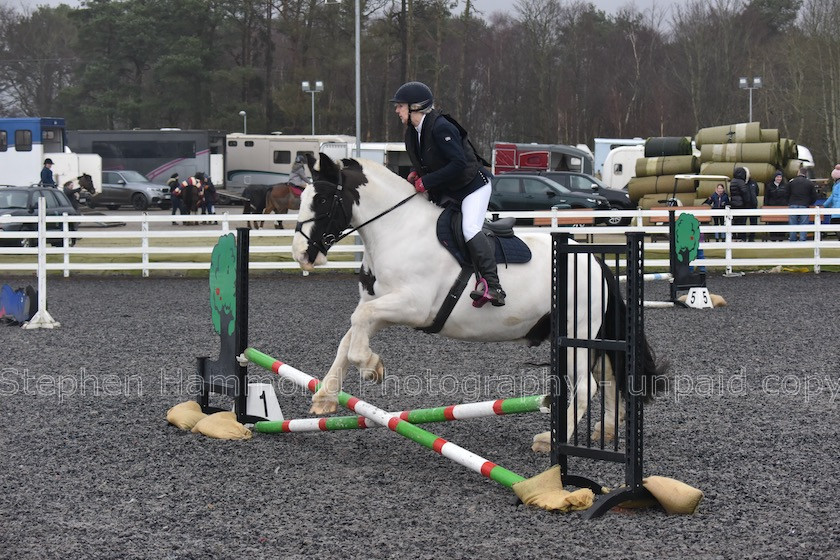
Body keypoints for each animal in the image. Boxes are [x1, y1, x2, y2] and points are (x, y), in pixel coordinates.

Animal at [288, 152, 664, 442]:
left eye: (321, 200)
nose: (301, 255)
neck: (398, 230)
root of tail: (596, 262)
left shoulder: (413, 306)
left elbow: (357, 329)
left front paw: (371, 367)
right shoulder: (377, 306)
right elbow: (350, 335)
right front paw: (326, 396)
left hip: (577, 333)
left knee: (588, 387)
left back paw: (550, 440)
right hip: (589, 338)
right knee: (610, 379)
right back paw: (607, 431)